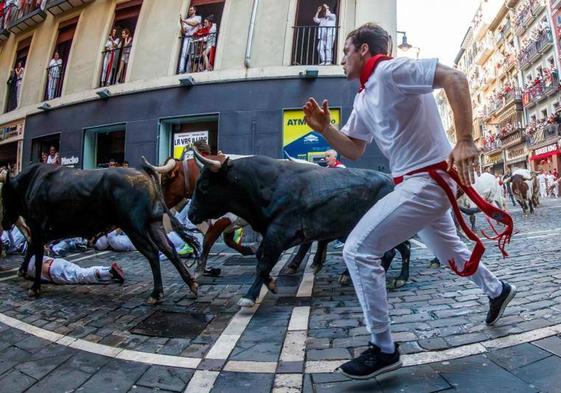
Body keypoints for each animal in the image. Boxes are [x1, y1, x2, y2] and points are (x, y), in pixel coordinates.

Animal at [0, 161, 201, 302]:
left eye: (4, 195)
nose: (4, 222)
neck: (30, 183)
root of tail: (142, 171)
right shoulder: (38, 231)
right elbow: (32, 249)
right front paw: (22, 271)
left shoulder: (37, 226)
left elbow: (37, 254)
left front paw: (34, 287)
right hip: (154, 224)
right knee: (169, 249)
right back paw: (191, 284)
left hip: (134, 227)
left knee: (153, 252)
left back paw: (156, 293)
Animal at [186, 153, 410, 306]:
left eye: (204, 185)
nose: (190, 214)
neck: (265, 184)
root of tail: (390, 180)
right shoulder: (272, 234)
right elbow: (261, 258)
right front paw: (271, 283)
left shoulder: (279, 232)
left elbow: (263, 263)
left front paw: (249, 296)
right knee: (400, 248)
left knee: (393, 251)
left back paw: (394, 279)